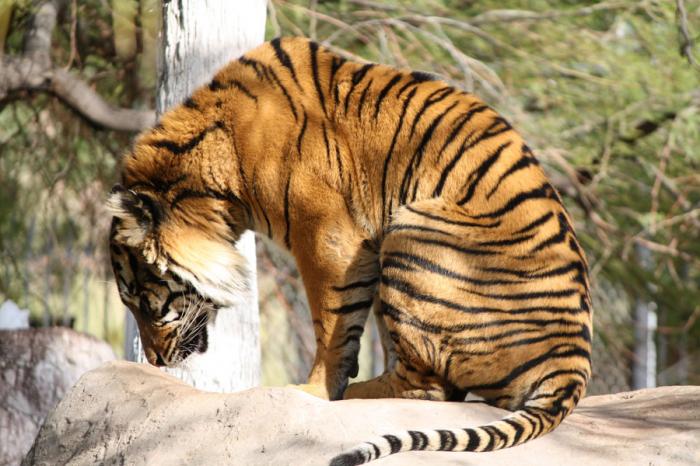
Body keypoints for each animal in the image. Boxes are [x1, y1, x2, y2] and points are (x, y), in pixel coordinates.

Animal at [108, 37, 592, 466]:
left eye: (144, 303)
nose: (155, 361)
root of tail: (572, 364)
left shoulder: (328, 237)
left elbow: (332, 324)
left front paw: (313, 392)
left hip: (413, 226)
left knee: (434, 388)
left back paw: (356, 395)